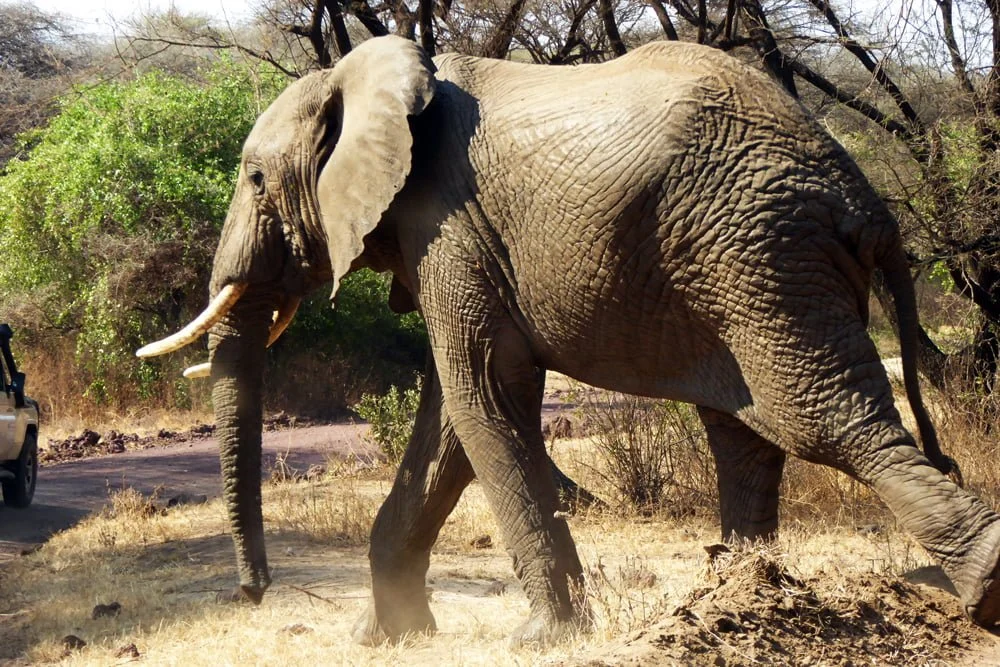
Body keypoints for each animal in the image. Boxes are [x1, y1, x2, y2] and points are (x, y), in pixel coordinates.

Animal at [137, 35, 1000, 645]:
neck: (363, 77)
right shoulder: (454, 241)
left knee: (823, 420)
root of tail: (865, 198)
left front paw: (539, 637)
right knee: (747, 433)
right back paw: (736, 596)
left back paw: (982, 586)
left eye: (254, 180)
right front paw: (383, 635)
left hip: (762, 257)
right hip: (744, 269)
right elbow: (450, 417)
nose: (253, 591)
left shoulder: (447, 223)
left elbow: (482, 392)